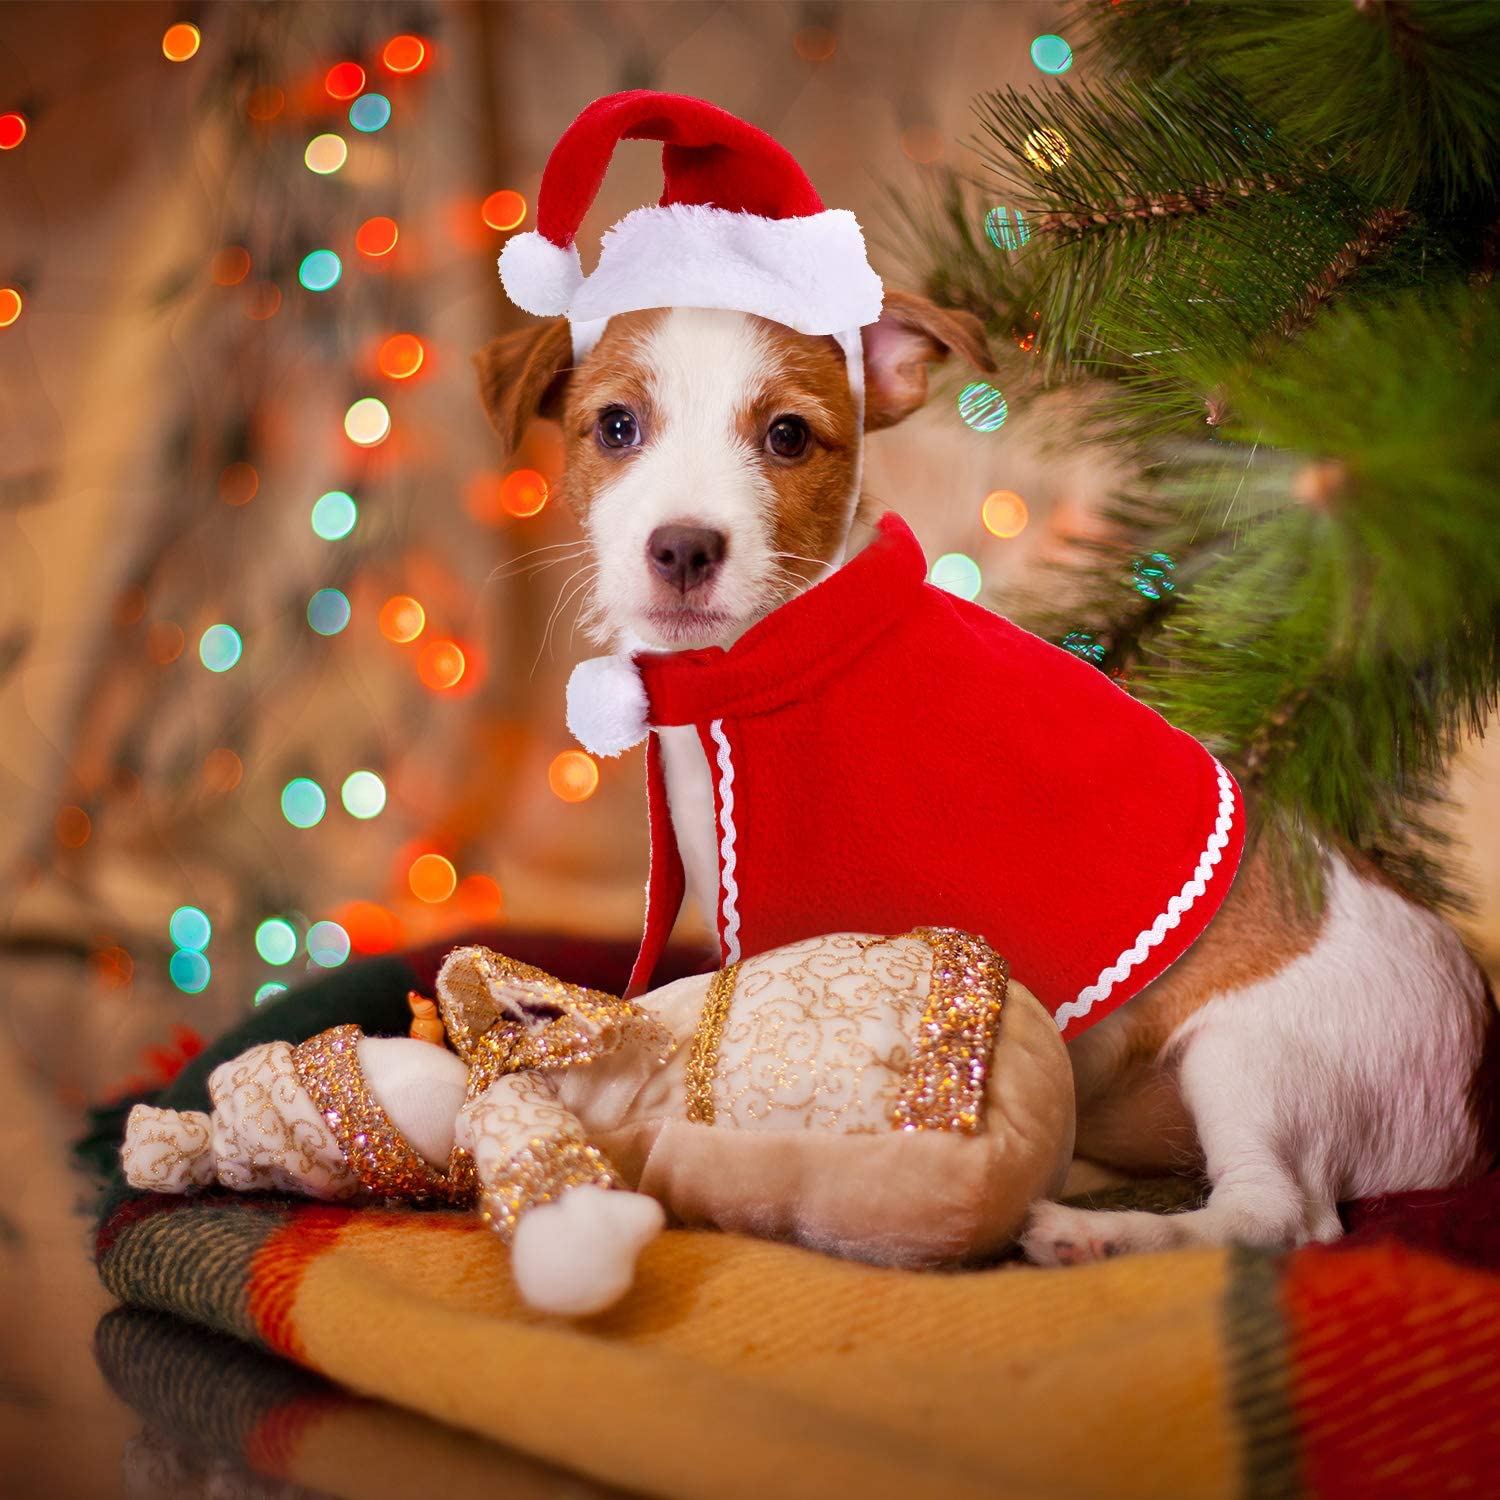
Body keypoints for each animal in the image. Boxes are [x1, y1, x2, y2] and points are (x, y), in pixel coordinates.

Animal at [474, 283, 1494, 1266]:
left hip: (1251, 1058)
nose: (684, 547)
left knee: (1277, 1215)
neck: (765, 667)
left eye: (788, 436)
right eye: (615, 426)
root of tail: (1476, 1087)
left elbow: (694, 1017)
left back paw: (1100, 1234)